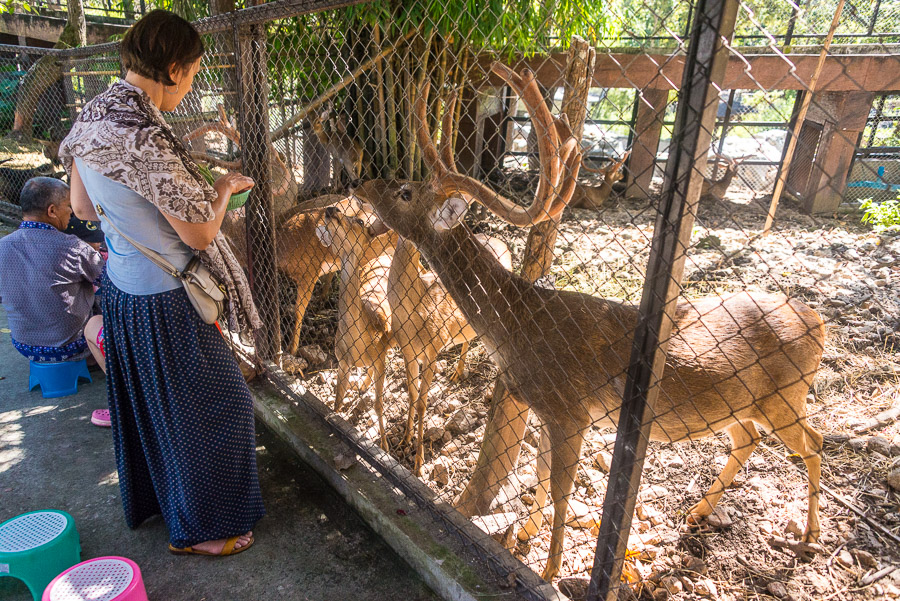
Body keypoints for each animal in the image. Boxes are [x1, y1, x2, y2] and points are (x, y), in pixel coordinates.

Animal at [348, 62, 828, 580]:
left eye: (404, 191)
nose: (361, 183)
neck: (517, 325)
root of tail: (818, 321)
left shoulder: (571, 409)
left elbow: (562, 492)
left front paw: (550, 570)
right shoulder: (544, 407)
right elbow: (539, 474)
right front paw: (525, 534)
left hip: (786, 394)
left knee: (815, 441)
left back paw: (810, 535)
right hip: (743, 405)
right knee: (750, 438)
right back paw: (698, 512)